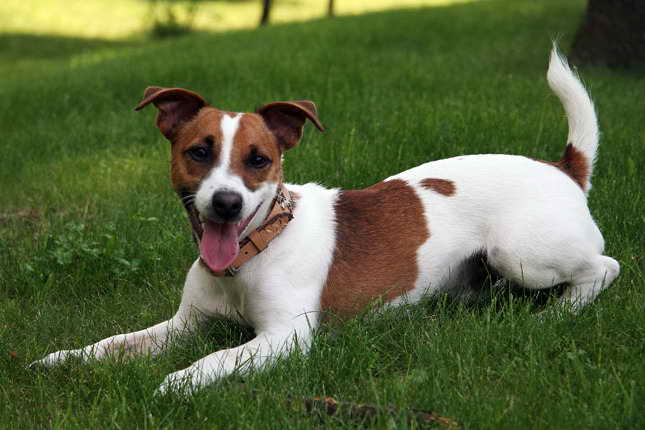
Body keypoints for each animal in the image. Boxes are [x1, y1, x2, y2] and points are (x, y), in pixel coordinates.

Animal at [31, 47, 620, 394]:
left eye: (259, 159)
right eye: (199, 151)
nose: (226, 204)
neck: (255, 249)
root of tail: (564, 169)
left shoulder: (282, 339)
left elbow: (214, 359)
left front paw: (174, 383)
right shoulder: (184, 325)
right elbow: (114, 343)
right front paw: (63, 359)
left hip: (519, 255)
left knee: (604, 267)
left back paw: (556, 314)